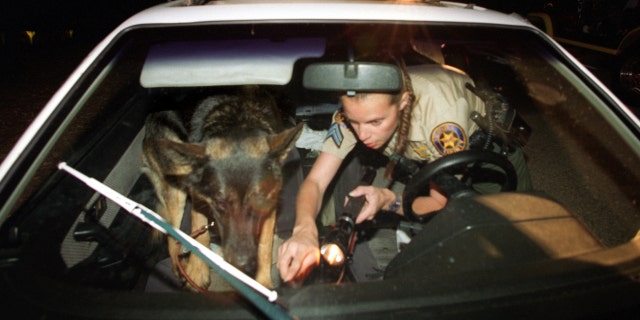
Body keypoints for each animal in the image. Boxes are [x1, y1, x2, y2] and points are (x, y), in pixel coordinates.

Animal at [144, 87, 304, 290]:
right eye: (220, 203)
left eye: (260, 200)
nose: (241, 264)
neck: (237, 118)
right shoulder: (197, 192)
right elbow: (199, 229)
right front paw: (198, 270)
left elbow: (265, 243)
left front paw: (262, 282)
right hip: (176, 183)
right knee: (172, 236)